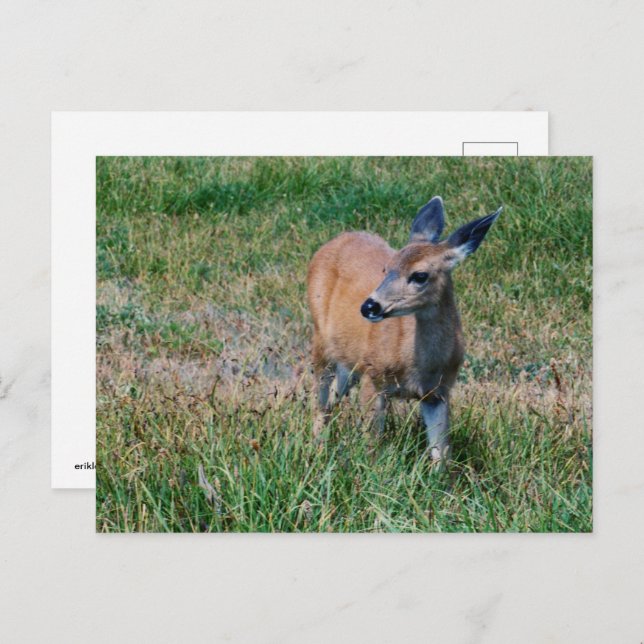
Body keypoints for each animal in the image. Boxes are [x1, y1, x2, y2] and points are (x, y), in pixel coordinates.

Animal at [306, 196, 501, 463]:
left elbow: (441, 453)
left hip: (349, 359)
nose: (369, 306)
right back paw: (315, 449)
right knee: (319, 399)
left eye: (420, 275)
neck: (417, 365)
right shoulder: (374, 376)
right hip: (320, 339)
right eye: (386, 268)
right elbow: (372, 445)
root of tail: (336, 240)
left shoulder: (438, 392)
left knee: (333, 396)